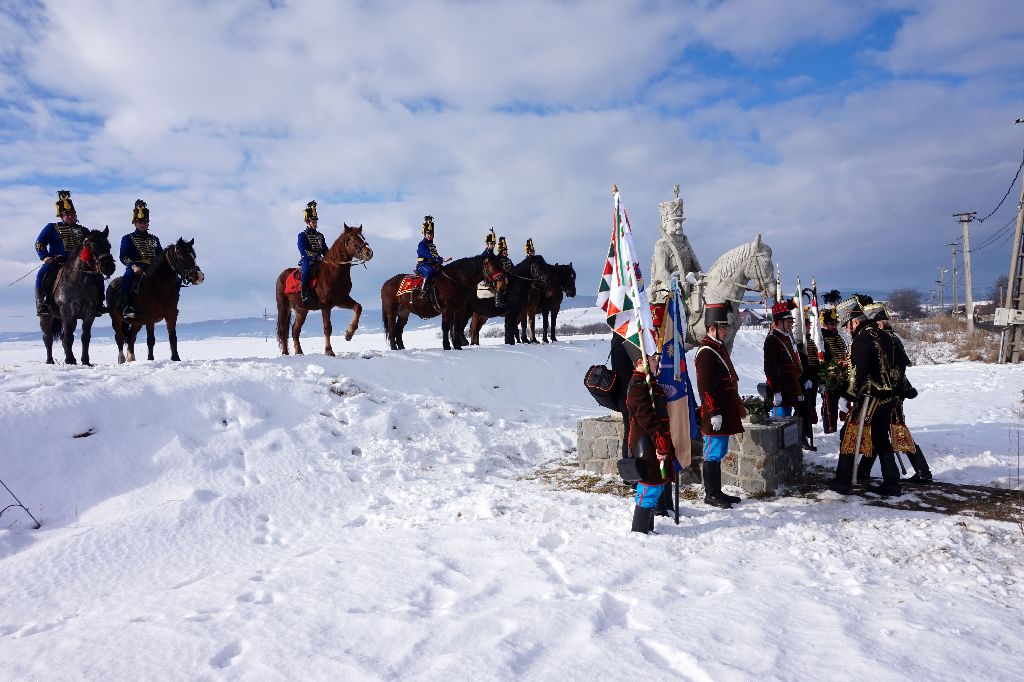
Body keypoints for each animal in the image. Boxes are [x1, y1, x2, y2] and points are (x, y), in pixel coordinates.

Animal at [38, 227, 116, 366]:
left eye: (108, 245)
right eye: (92, 245)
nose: (109, 267)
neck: (80, 281)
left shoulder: (89, 312)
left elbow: (85, 337)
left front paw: (85, 361)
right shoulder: (67, 312)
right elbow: (68, 338)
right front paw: (70, 360)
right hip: (46, 317)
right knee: (48, 338)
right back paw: (50, 360)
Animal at [276, 227, 376, 358]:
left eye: (362, 237)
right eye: (353, 238)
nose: (369, 252)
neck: (333, 272)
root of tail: (281, 275)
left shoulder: (342, 300)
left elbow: (358, 307)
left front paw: (349, 334)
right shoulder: (326, 306)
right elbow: (327, 327)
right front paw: (329, 351)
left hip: (301, 310)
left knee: (295, 330)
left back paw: (299, 352)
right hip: (284, 307)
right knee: (283, 330)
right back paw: (285, 353)